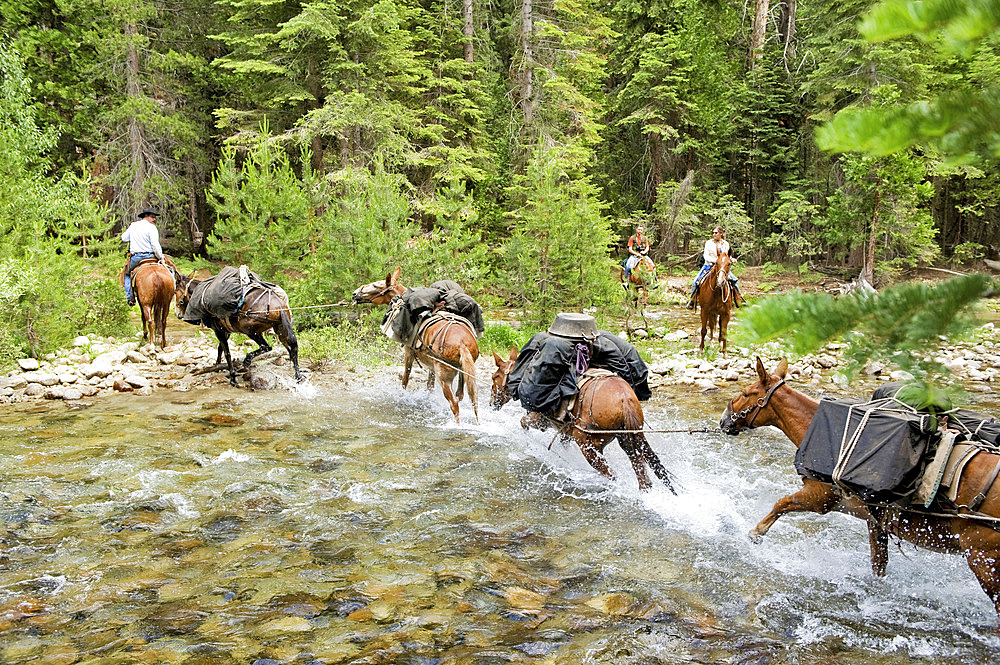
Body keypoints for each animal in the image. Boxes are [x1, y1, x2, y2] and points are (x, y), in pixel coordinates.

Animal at [174, 270, 302, 384]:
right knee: (292, 349)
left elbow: (227, 353)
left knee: (267, 347)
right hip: (281, 330)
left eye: (175, 292)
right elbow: (220, 348)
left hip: (250, 331)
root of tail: (279, 305)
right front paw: (217, 366)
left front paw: (232, 377)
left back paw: (247, 359)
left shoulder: (218, 331)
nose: (177, 314)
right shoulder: (226, 331)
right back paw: (298, 376)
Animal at [350, 268, 478, 422]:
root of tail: (462, 344)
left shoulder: (409, 353)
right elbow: (429, 386)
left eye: (376, 285)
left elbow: (405, 378)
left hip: (445, 376)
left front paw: (402, 397)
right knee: (462, 397)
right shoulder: (432, 367)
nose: (355, 293)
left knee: (454, 404)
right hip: (462, 373)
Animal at [490, 348, 676, 492]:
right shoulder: (565, 432)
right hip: (628, 439)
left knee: (611, 474)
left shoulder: (540, 419)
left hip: (588, 445)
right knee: (643, 477)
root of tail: (624, 400)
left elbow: (523, 422)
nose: (492, 403)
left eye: (494, 377)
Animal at [724, 358, 1000, 616]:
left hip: (983, 561)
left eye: (747, 393)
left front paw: (756, 533)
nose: (724, 420)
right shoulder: (876, 521)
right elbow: (879, 563)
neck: (818, 429)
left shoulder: (819, 498)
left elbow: (781, 503)